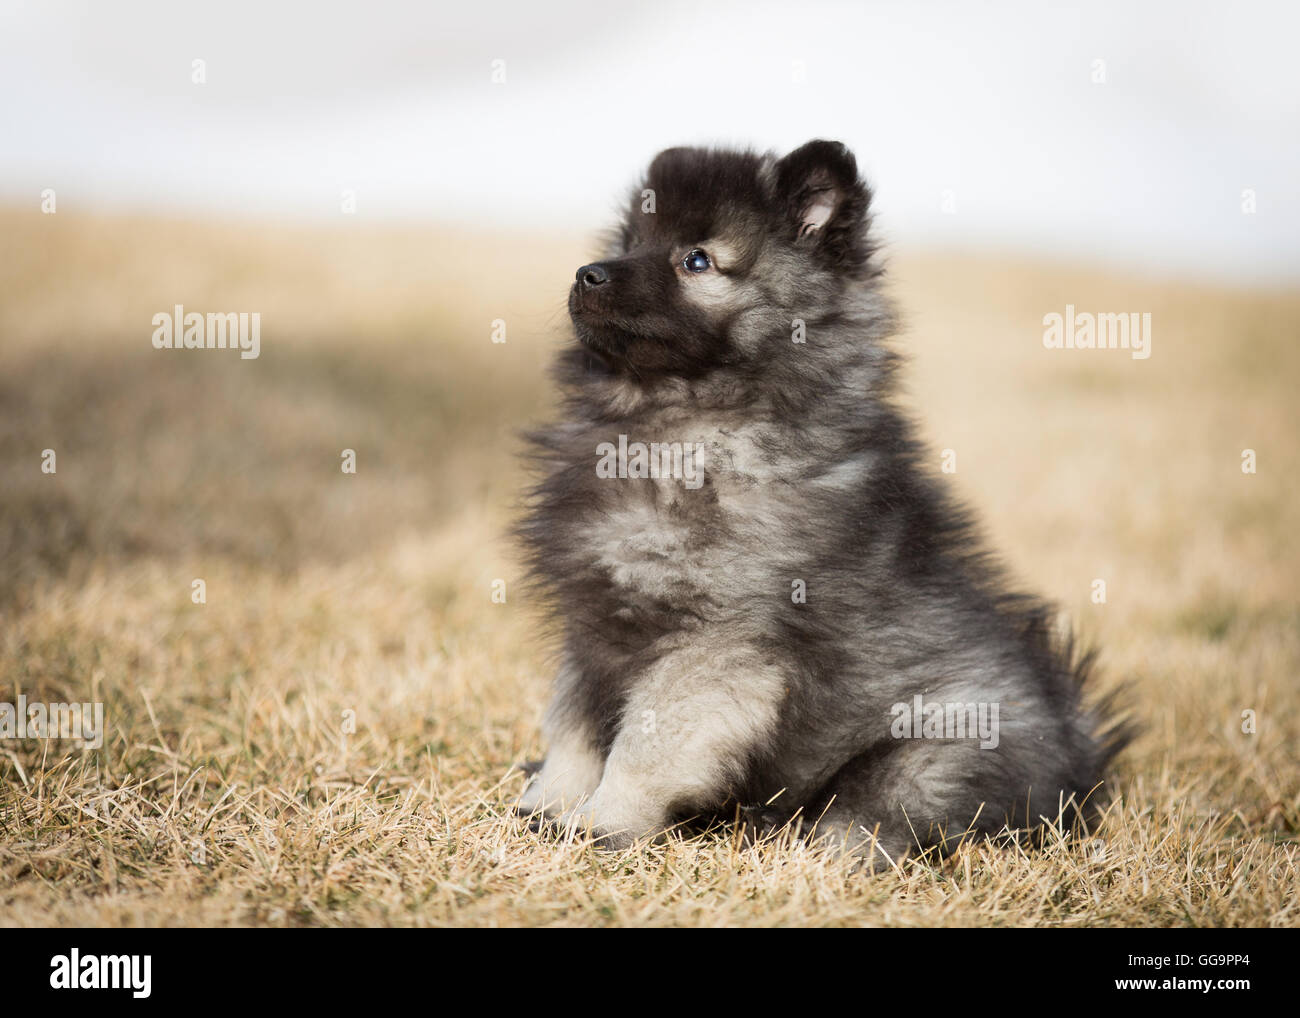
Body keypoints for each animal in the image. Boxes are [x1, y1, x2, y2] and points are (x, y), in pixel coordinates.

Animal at [514, 139, 1128, 863]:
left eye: (697, 259)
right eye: (632, 241)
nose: (589, 275)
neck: (691, 424)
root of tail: (1078, 763)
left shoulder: (717, 643)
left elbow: (642, 747)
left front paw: (598, 824)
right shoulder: (592, 632)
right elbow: (574, 730)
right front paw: (545, 807)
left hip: (925, 757)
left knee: (865, 825)